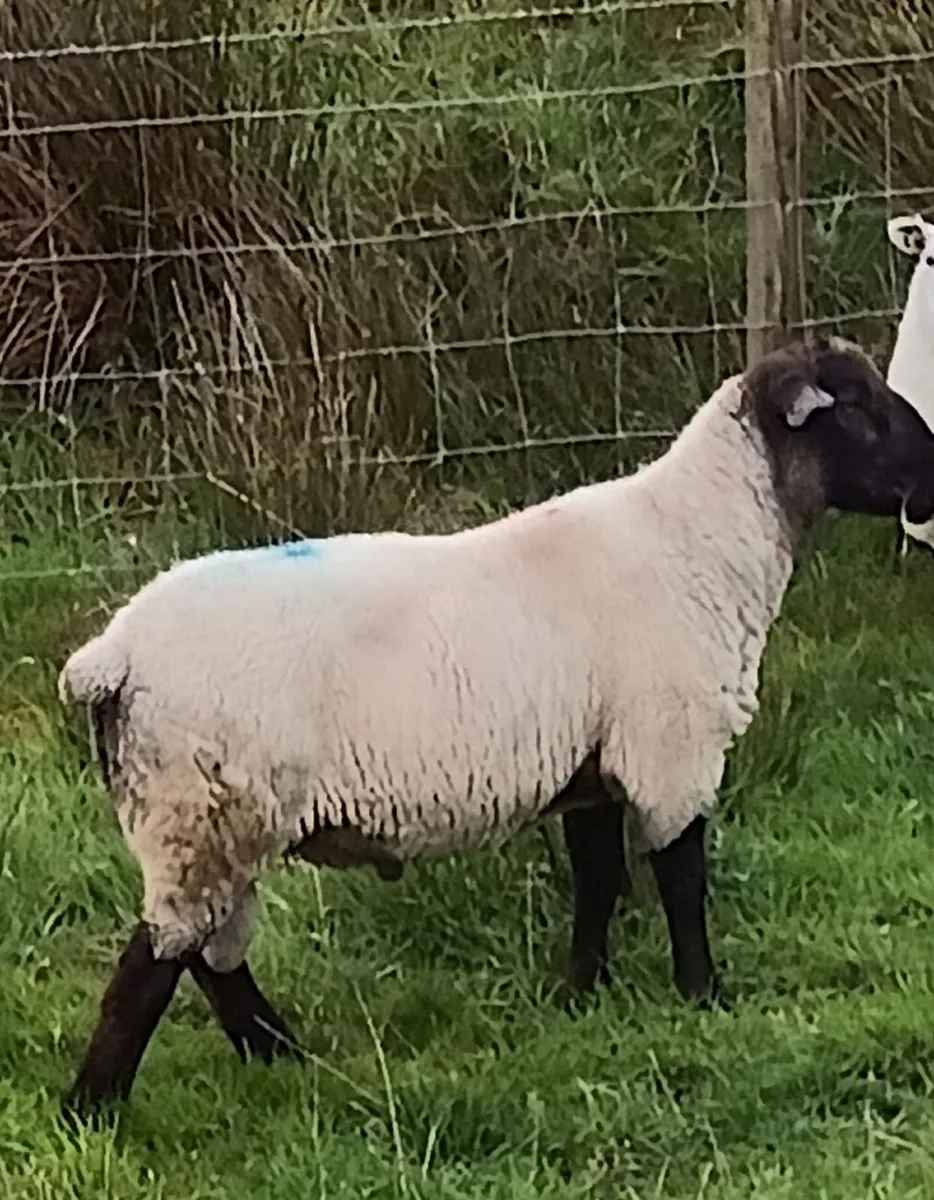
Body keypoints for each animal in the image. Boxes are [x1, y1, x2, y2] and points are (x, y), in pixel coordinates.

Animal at [57, 335, 934, 1121]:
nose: (932, 477)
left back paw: (279, 1056)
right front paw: (703, 996)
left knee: (209, 955)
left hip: (206, 816)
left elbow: (597, 879)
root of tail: (113, 655)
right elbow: (682, 881)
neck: (701, 540)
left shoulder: (594, 768)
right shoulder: (670, 749)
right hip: (201, 812)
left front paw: (583, 992)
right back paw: (95, 1109)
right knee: (153, 964)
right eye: (860, 407)